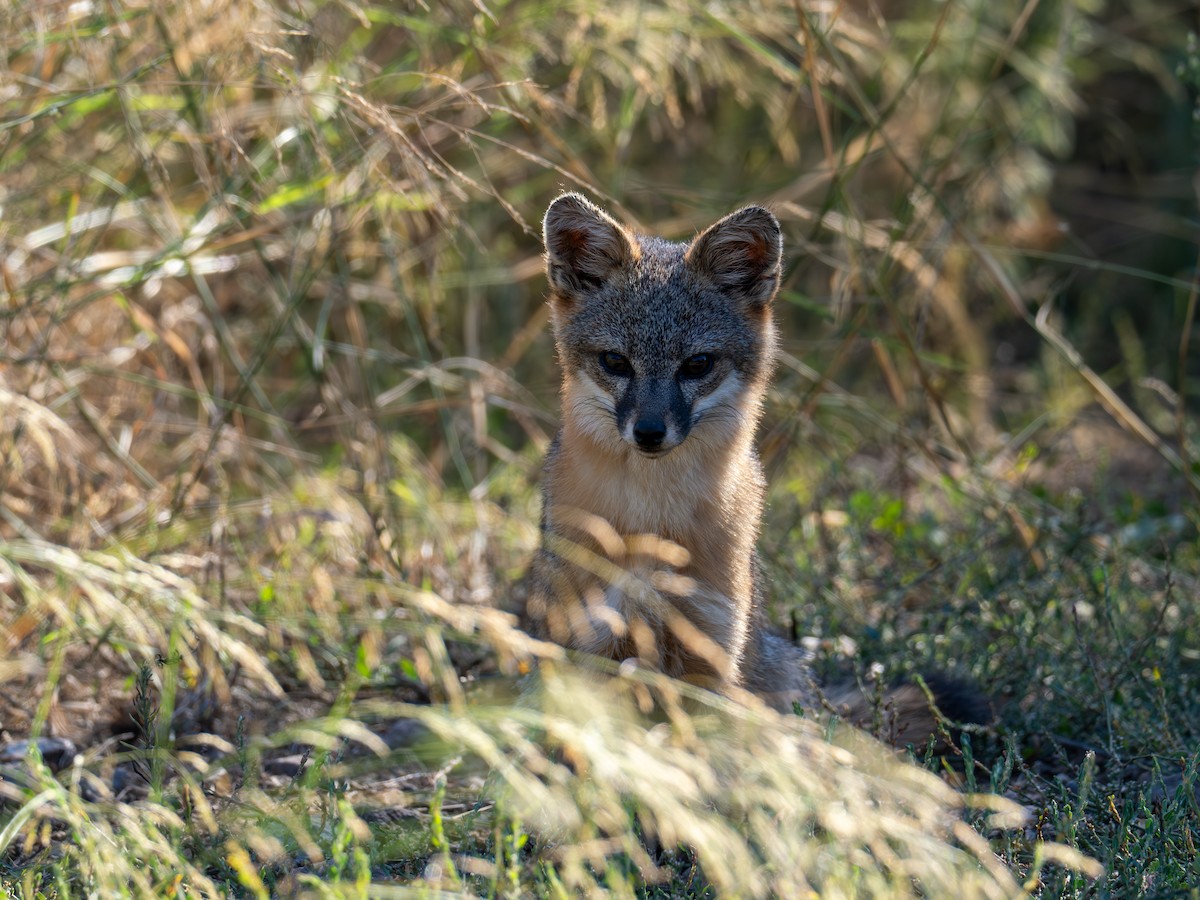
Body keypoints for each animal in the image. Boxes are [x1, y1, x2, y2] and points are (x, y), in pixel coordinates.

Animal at [524, 192, 981, 743]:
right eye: (615, 362)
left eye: (697, 364)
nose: (649, 432)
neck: (654, 520)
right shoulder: (592, 643)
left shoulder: (710, 647)